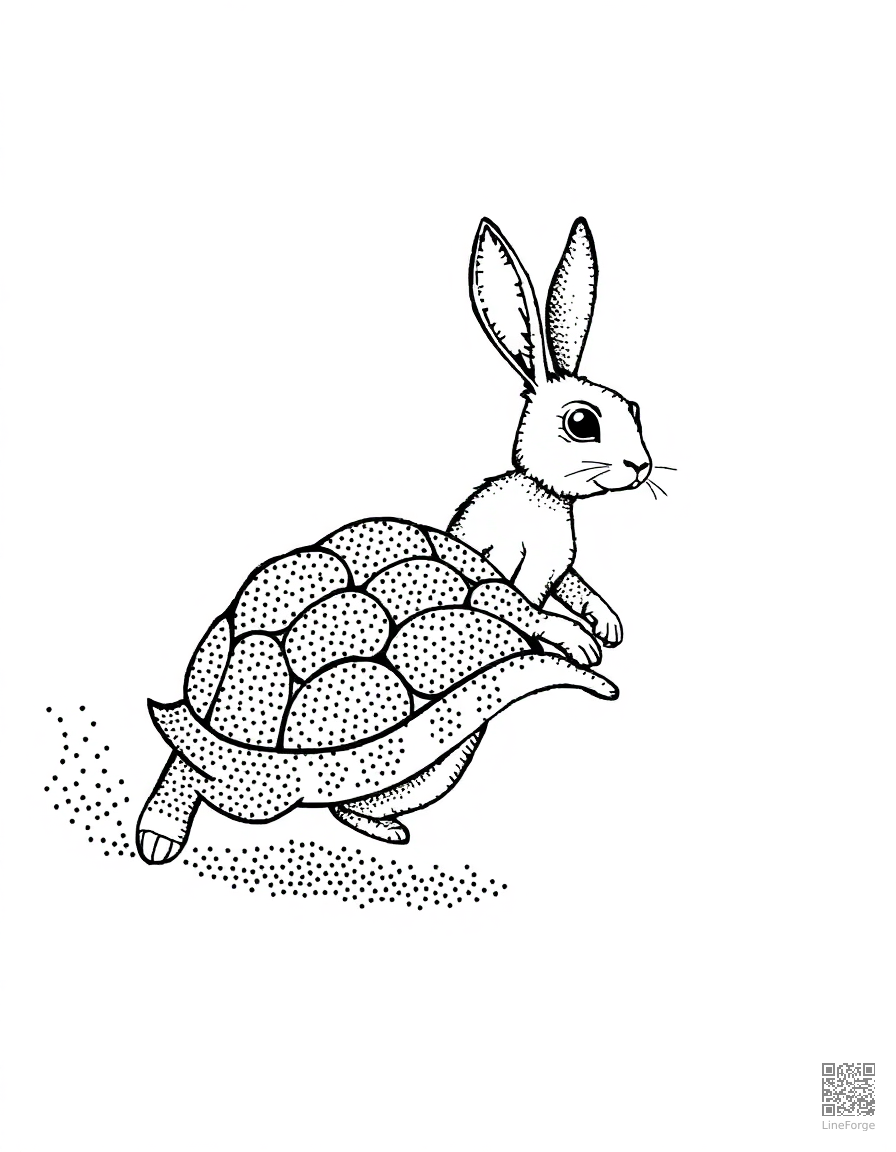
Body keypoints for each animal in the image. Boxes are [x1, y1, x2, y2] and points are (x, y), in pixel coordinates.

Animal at [332, 217, 652, 842]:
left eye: (635, 408)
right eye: (583, 423)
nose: (641, 466)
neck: (543, 494)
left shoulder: (560, 570)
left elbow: (577, 586)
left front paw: (608, 626)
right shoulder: (499, 557)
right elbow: (520, 605)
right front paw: (580, 641)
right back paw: (385, 831)